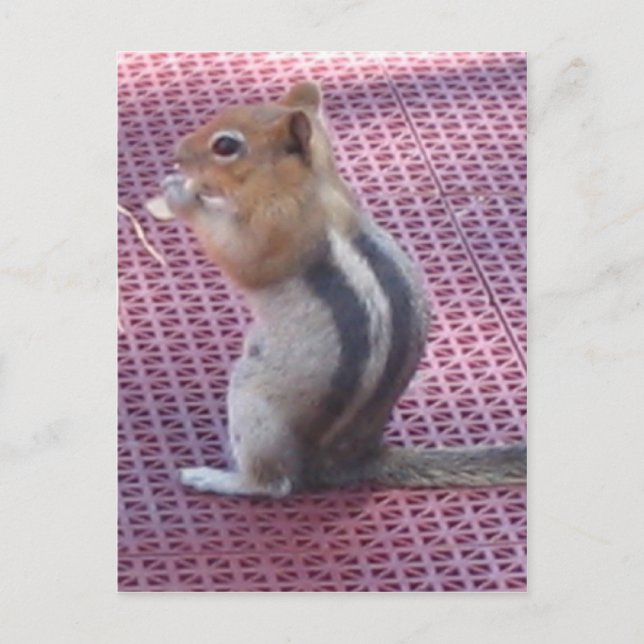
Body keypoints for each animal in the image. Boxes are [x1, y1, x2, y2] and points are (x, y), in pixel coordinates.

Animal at [158, 81, 527, 497]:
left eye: (225, 145)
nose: (176, 155)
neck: (315, 188)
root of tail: (355, 457)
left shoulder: (276, 230)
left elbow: (241, 258)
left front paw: (181, 195)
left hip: (253, 400)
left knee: (276, 483)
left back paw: (217, 478)